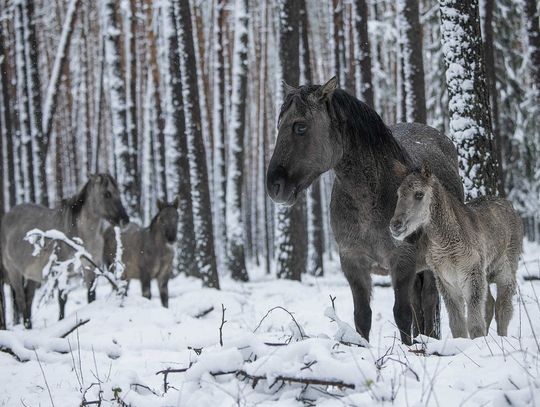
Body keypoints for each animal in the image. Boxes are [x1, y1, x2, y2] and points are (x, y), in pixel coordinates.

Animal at [0, 174, 129, 330]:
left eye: (118, 193)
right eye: (107, 194)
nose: (125, 220)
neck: (80, 234)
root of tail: (6, 217)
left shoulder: (90, 267)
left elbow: (91, 295)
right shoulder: (63, 270)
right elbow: (62, 299)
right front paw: (61, 322)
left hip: (31, 275)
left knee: (28, 299)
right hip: (14, 272)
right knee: (20, 299)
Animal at [266, 77, 464, 344]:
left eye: (300, 127)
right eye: (279, 125)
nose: (274, 186)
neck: (370, 199)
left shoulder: (402, 260)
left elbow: (402, 314)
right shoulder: (352, 261)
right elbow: (362, 316)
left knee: (428, 302)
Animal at [390, 162, 520, 338]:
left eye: (419, 194)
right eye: (398, 194)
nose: (395, 225)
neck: (447, 245)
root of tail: (511, 206)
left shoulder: (472, 275)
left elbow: (474, 324)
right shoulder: (447, 281)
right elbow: (457, 325)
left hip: (505, 271)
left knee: (503, 308)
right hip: (486, 273)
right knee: (490, 304)